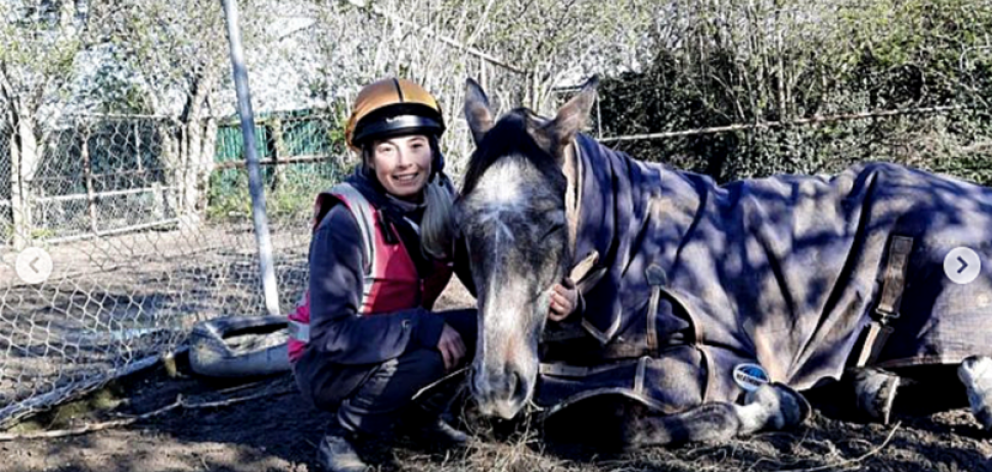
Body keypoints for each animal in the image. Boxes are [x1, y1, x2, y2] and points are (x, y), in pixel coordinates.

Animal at [446, 77, 992, 446]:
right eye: (463, 225)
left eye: (553, 224)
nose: (497, 388)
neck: (628, 243)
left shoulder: (716, 356)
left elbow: (634, 424)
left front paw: (777, 405)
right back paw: (876, 388)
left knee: (972, 372)